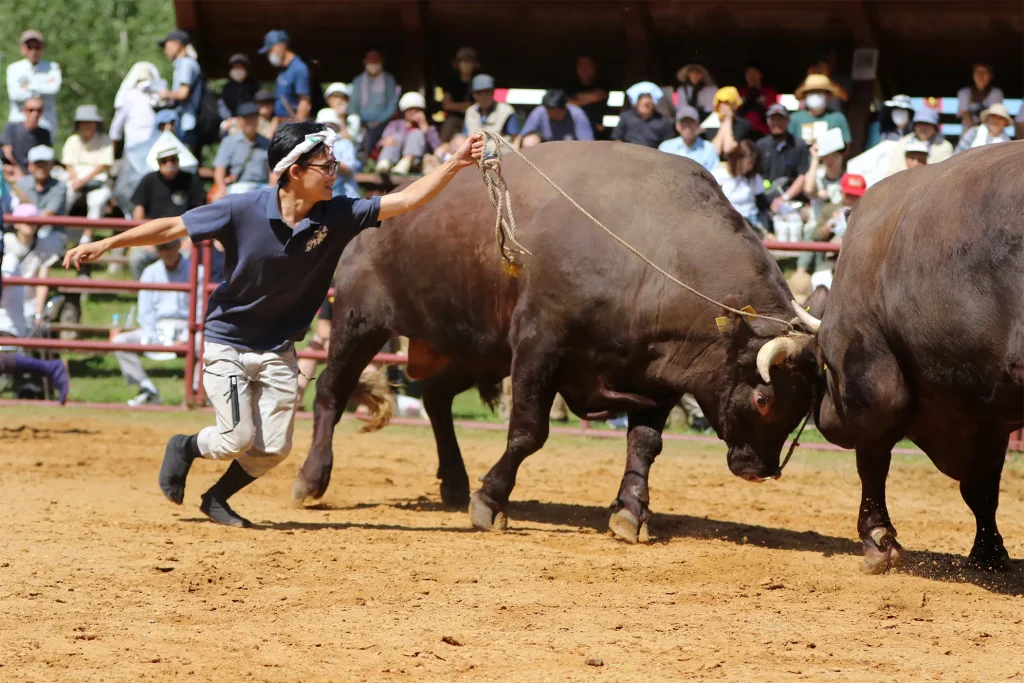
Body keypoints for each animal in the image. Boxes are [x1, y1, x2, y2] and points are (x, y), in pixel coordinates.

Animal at [290, 141, 815, 540]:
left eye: (802, 407)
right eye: (764, 398)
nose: (760, 468)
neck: (649, 251)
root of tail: (378, 205)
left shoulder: (656, 375)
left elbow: (645, 444)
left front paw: (630, 512)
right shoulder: (537, 349)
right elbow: (528, 433)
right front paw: (490, 501)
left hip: (473, 348)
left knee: (437, 398)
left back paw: (454, 482)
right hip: (359, 321)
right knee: (331, 392)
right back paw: (311, 479)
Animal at [798, 141, 1024, 573]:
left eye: (824, 365)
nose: (824, 418)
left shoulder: (873, 376)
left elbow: (873, 459)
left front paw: (877, 538)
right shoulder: (989, 411)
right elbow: (982, 487)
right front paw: (988, 552)